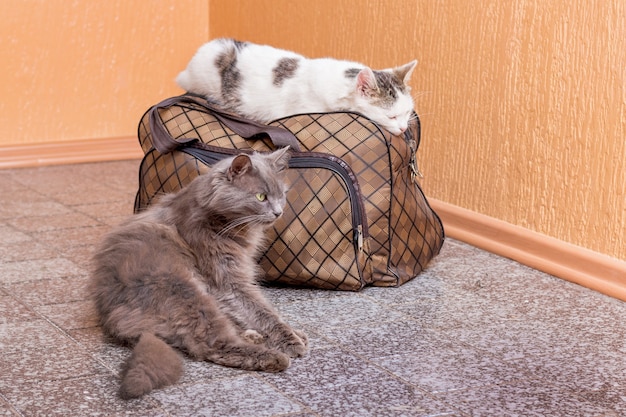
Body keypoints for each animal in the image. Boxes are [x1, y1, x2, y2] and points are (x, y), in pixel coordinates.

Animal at [90, 148, 308, 398]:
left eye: (282, 195)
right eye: (261, 197)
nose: (278, 212)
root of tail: (111, 315)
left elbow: (256, 311)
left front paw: (294, 333)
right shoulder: (228, 280)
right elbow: (262, 311)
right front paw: (290, 340)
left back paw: (254, 336)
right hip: (185, 292)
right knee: (211, 344)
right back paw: (273, 356)